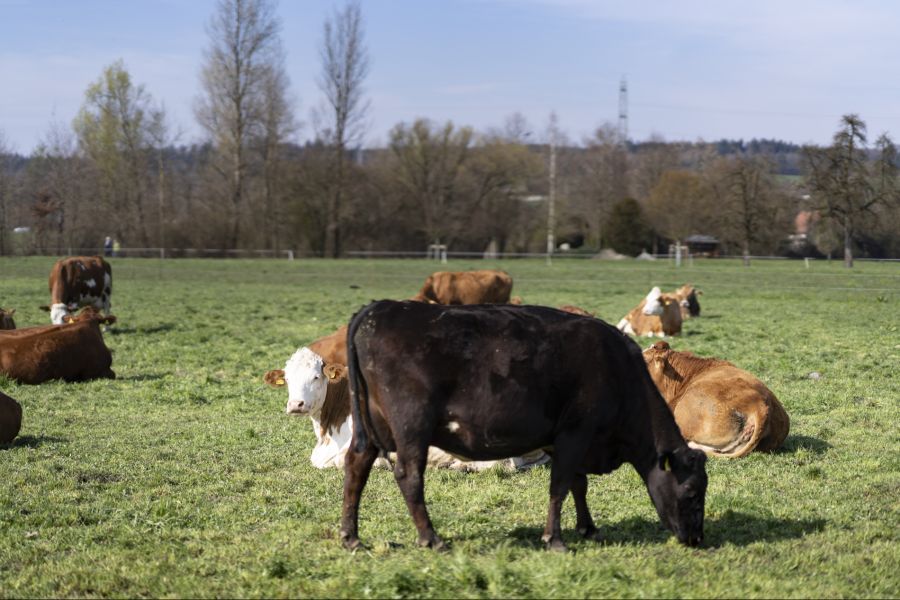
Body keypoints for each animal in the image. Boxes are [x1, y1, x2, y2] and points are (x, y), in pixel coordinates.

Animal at [339, 300, 708, 551]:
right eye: (692, 490)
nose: (696, 538)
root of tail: (380, 308)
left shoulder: (562, 439)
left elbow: (578, 484)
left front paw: (587, 528)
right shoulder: (576, 432)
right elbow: (560, 485)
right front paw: (555, 539)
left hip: (371, 428)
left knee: (356, 465)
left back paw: (351, 536)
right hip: (412, 426)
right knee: (409, 475)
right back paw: (431, 538)